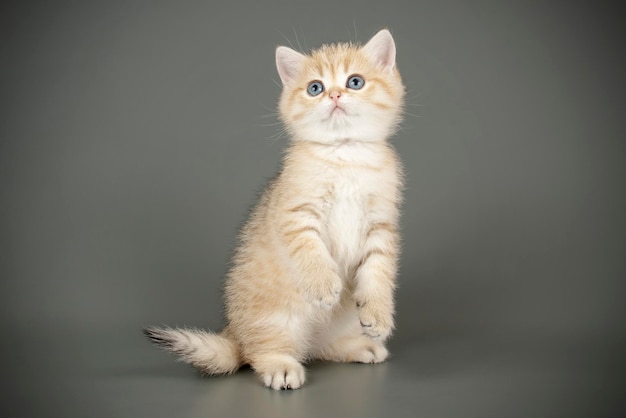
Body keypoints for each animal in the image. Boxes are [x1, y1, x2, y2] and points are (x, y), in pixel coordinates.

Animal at [143, 28, 404, 388]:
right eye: (315, 88)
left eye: (355, 82)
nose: (334, 95)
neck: (344, 154)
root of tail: (233, 331)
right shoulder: (296, 214)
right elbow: (310, 250)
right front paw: (324, 283)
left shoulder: (381, 226)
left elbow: (379, 273)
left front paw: (378, 312)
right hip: (276, 318)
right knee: (259, 351)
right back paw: (280, 365)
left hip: (340, 320)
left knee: (320, 346)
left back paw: (358, 345)